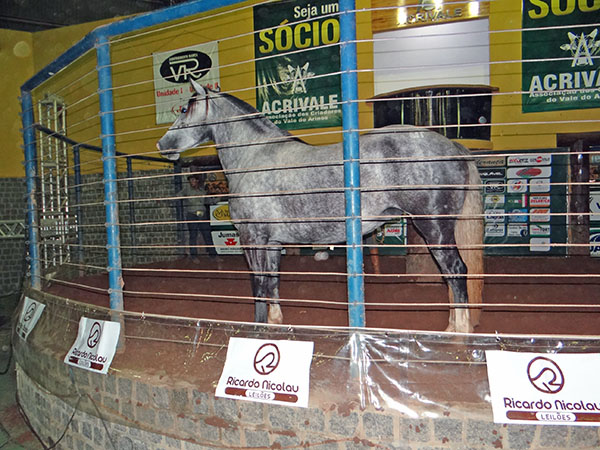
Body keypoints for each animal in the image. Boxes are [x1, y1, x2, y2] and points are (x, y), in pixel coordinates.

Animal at [158, 82, 482, 332]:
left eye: (184, 109)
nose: (162, 145)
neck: (255, 157)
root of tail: (452, 147)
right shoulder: (273, 242)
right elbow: (273, 281)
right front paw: (276, 322)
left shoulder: (253, 238)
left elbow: (259, 284)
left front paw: (257, 329)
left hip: (434, 229)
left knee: (456, 271)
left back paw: (459, 332)